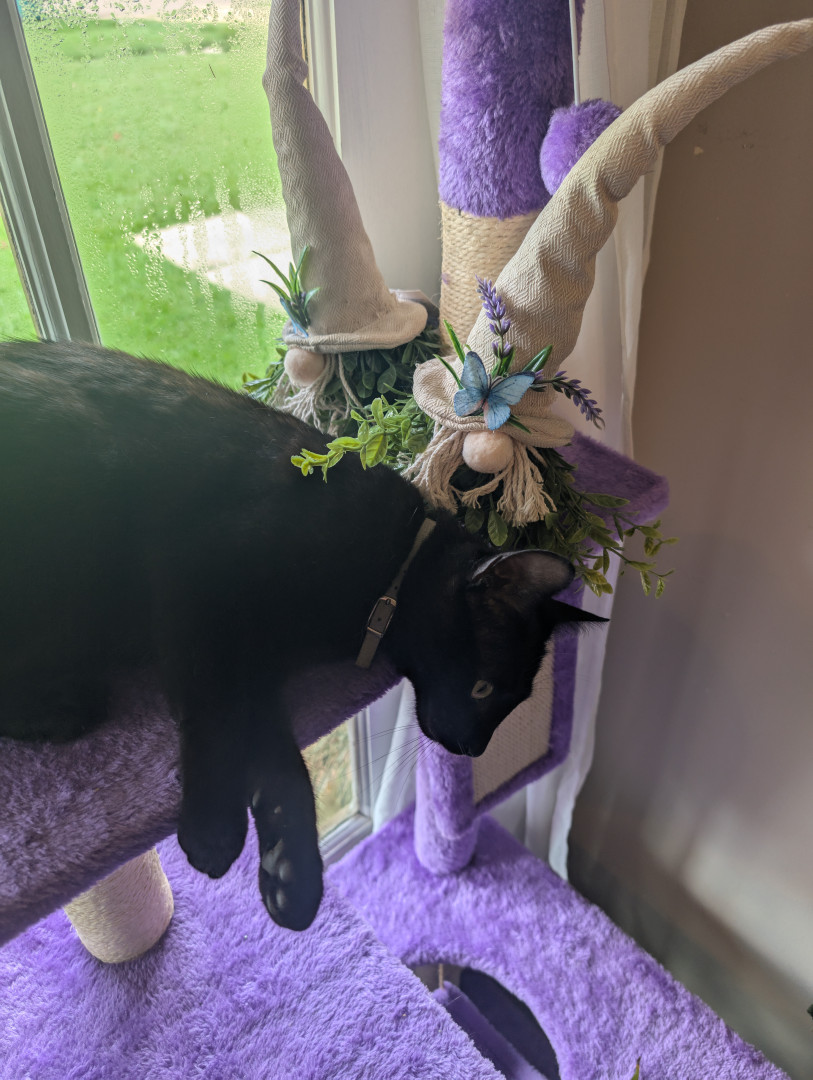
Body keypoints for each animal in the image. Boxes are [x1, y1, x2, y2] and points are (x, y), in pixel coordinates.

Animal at [0, 339, 604, 930]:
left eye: (514, 699)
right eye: (482, 688)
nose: (475, 748)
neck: (388, 566)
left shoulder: (257, 664)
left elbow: (278, 755)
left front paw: (292, 871)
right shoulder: (193, 581)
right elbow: (214, 714)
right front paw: (213, 827)